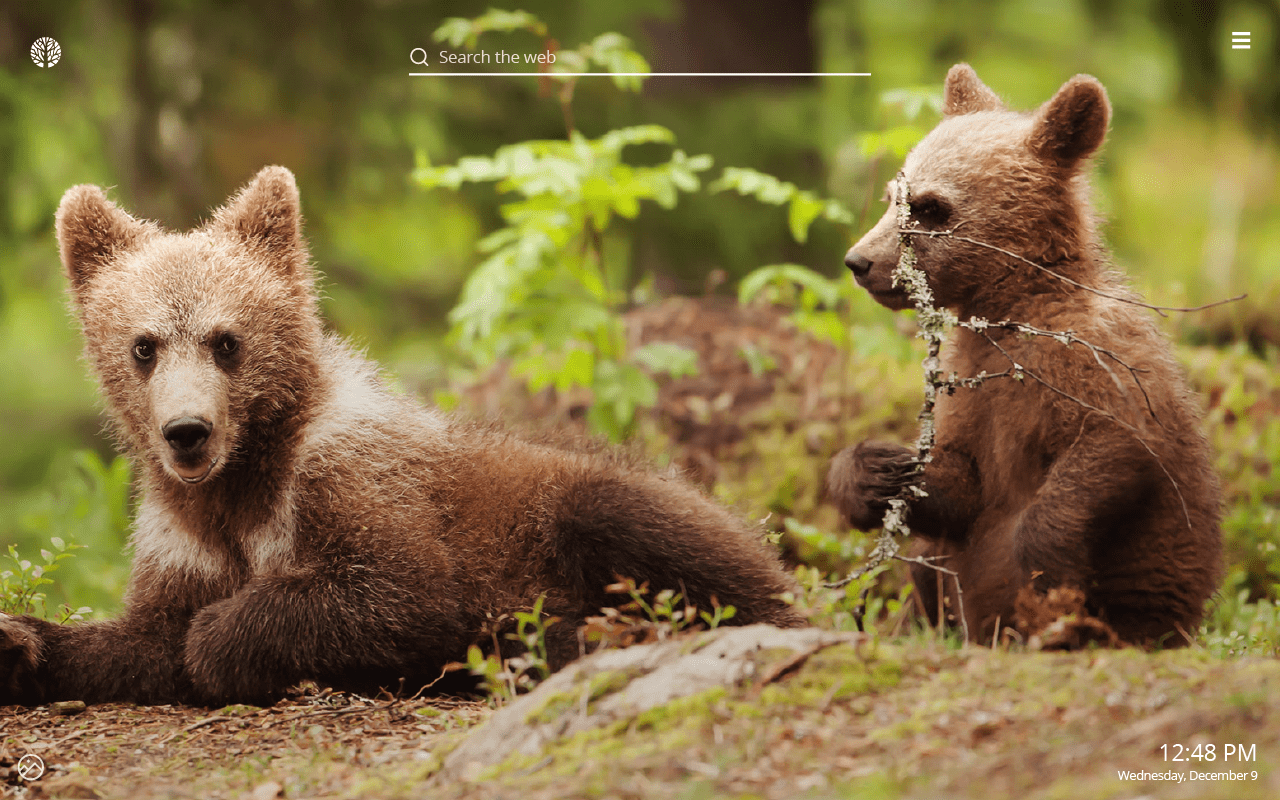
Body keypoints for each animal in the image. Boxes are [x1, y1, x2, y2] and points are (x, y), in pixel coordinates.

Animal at [0, 166, 803, 707]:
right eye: (144, 345)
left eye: (226, 341)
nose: (187, 433)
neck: (243, 481)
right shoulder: (182, 533)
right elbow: (144, 638)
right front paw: (22, 642)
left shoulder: (352, 478)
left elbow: (399, 590)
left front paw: (222, 641)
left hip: (597, 499)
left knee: (656, 536)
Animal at [826, 64, 1222, 647]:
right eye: (891, 196)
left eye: (930, 206)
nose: (860, 261)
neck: (1010, 308)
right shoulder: (970, 388)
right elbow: (961, 482)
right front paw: (872, 471)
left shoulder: (1097, 363)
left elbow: (1112, 447)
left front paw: (1048, 579)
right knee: (928, 567)